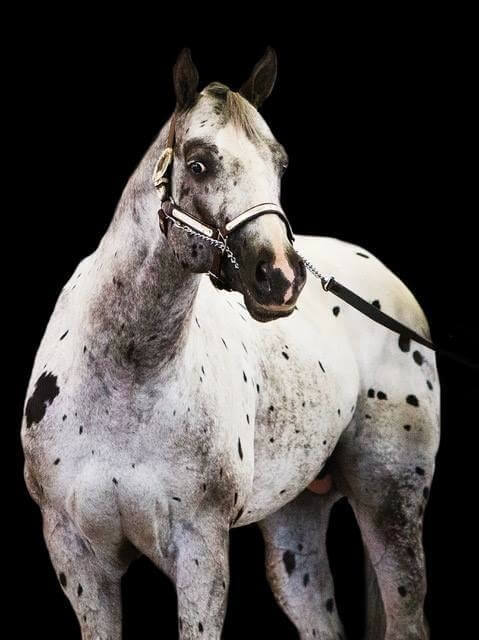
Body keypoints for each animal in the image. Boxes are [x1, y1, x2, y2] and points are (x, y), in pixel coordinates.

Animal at [21, 47, 440, 640]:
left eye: (279, 164)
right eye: (198, 163)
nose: (280, 276)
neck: (127, 375)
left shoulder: (200, 549)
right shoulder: (77, 557)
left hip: (390, 500)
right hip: (295, 528)